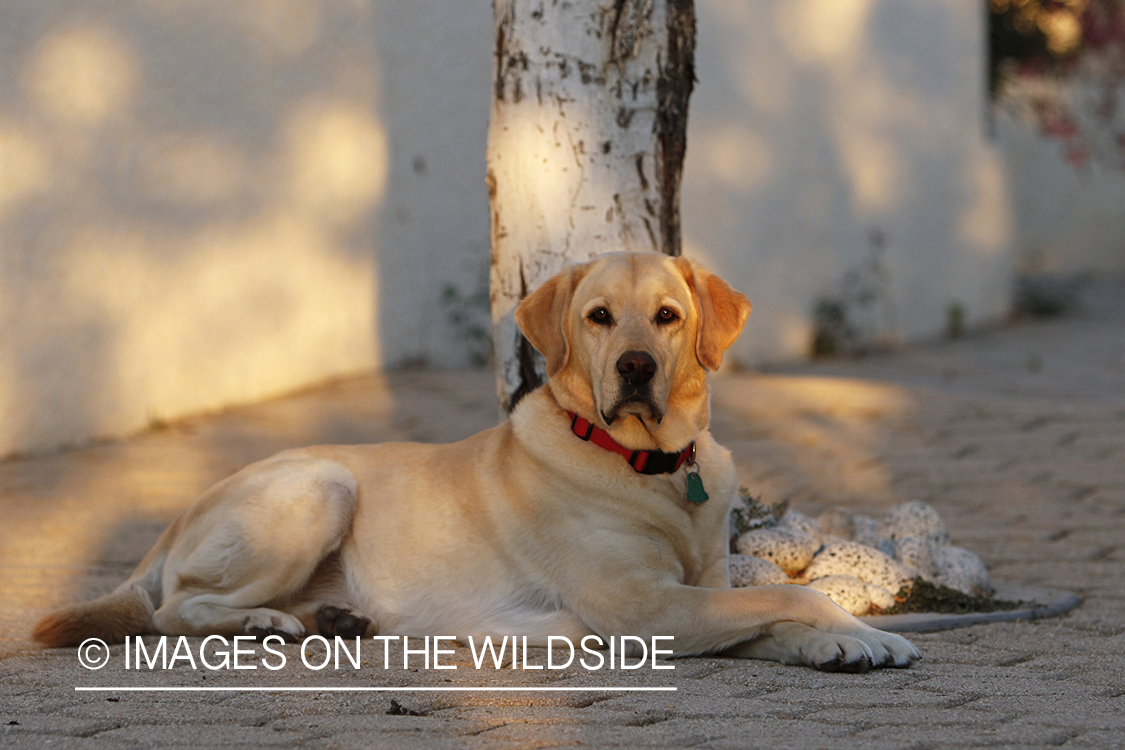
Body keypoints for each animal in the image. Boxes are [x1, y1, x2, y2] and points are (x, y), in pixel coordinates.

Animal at [35, 254, 918, 674]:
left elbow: (769, 615)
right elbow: (785, 597)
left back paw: (333, 619)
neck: (655, 468)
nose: (634, 366)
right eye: (598, 317)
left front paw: (839, 646)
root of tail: (183, 513)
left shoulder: (688, 596)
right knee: (172, 609)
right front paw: (856, 633)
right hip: (321, 485)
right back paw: (264, 623)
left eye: (667, 316)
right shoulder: (639, 609)